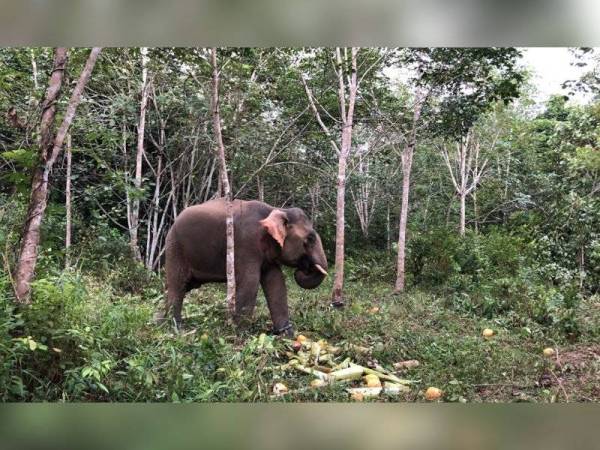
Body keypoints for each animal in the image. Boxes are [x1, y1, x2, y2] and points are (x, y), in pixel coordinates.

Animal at [155, 199, 328, 336]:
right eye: (310, 239)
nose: (303, 269)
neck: (276, 209)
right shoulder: (246, 243)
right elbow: (250, 283)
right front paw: (239, 335)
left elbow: (276, 283)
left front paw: (287, 336)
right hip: (175, 248)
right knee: (178, 285)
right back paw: (175, 329)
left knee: (179, 287)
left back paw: (159, 322)